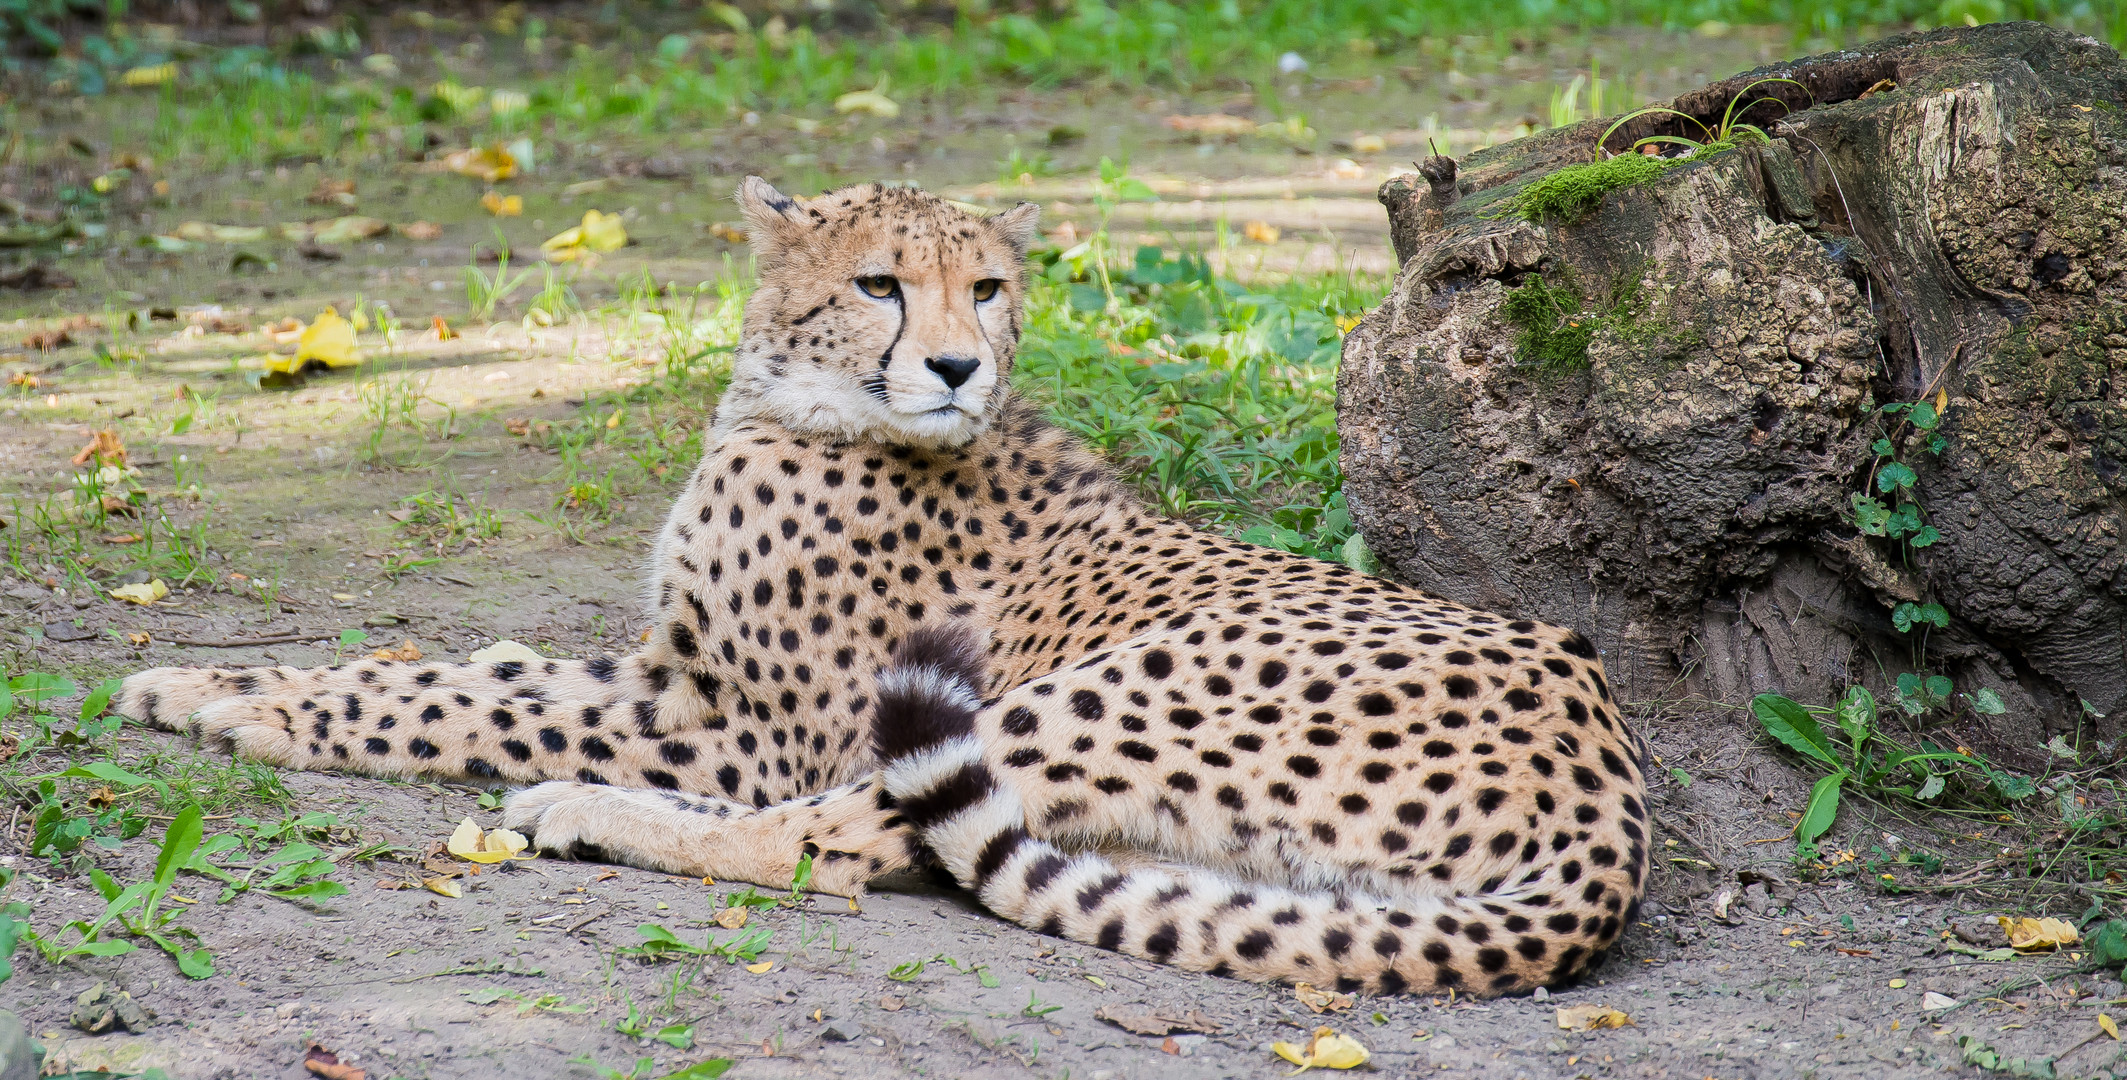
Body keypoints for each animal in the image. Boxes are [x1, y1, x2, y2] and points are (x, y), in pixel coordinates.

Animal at [116, 177, 1650, 994]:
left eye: (986, 288)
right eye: (876, 284)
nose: (958, 364)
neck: (797, 406)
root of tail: (1614, 795)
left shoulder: (745, 729)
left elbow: (471, 709)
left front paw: (257, 714)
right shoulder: (673, 669)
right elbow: (458, 673)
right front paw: (211, 679)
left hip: (1101, 689)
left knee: (841, 842)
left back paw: (588, 813)